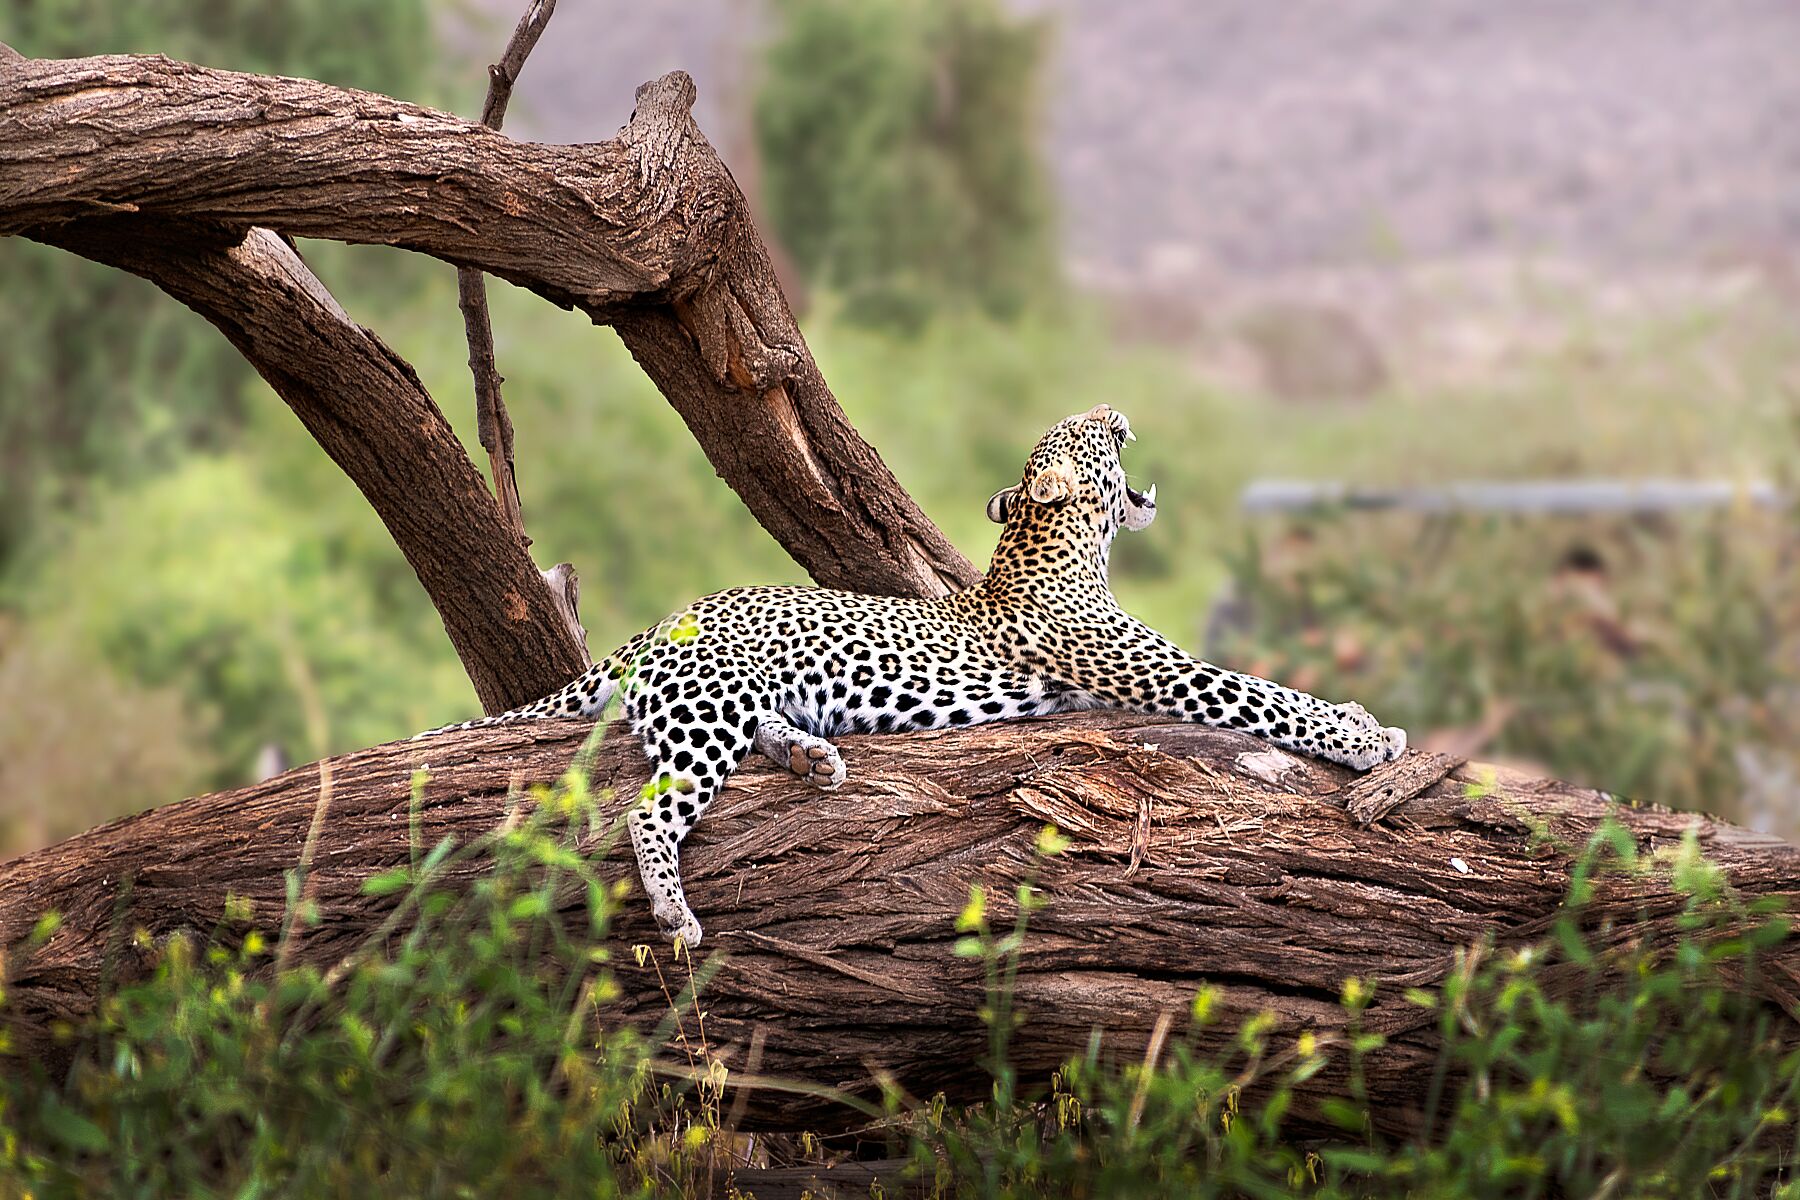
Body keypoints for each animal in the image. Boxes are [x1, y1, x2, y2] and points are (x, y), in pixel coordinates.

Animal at [417, 405, 1406, 947]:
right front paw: (1366, 735)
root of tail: (661, 621)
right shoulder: (1149, 667)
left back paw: (812, 759)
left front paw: (1364, 722)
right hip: (706, 712)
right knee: (648, 812)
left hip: (739, 697)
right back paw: (674, 915)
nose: (1114, 406)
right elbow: (1259, 693)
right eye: (1085, 430)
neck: (1059, 547)